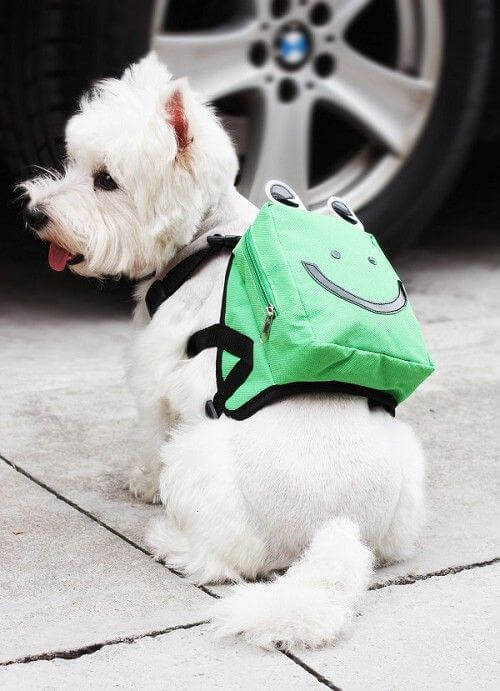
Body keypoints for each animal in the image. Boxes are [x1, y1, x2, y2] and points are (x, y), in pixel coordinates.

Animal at [21, 55, 424, 656]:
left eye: (107, 180)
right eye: (73, 163)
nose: (34, 213)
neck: (204, 234)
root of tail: (338, 526)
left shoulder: (155, 376)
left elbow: (150, 434)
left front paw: (142, 484)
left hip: (198, 459)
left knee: (223, 561)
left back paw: (170, 540)